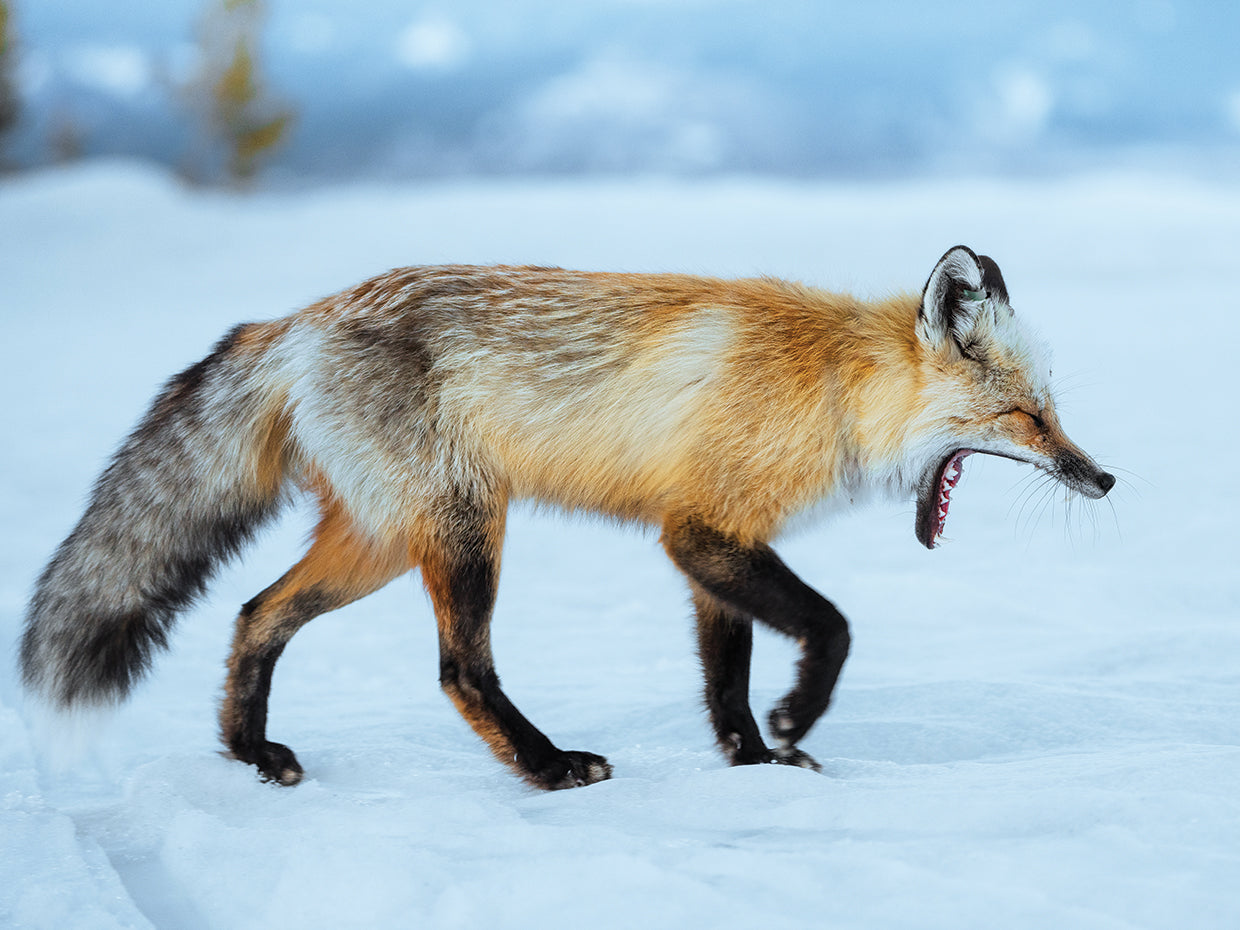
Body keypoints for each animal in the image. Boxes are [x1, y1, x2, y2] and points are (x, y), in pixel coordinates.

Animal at [20, 246, 1114, 789]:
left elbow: (724, 680)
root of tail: (290, 322)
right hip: (465, 530)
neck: (834, 389)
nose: (1103, 480)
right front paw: (797, 720)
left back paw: (251, 755)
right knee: (460, 671)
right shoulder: (700, 533)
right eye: (1027, 417)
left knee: (255, 615)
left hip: (378, 542)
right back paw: (546, 768)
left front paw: (756, 768)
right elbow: (831, 629)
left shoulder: (712, 537)